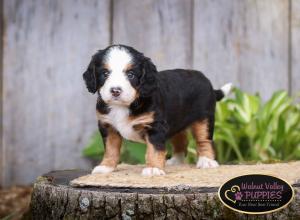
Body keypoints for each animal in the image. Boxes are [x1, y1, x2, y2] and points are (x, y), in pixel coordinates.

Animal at [83, 44, 233, 177]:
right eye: (105, 73)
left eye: (131, 75)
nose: (115, 90)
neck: (123, 106)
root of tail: (206, 80)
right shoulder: (108, 126)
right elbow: (110, 149)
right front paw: (106, 167)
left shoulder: (155, 127)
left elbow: (154, 150)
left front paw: (153, 168)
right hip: (176, 122)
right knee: (181, 142)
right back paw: (176, 161)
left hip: (203, 118)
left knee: (204, 140)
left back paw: (207, 161)